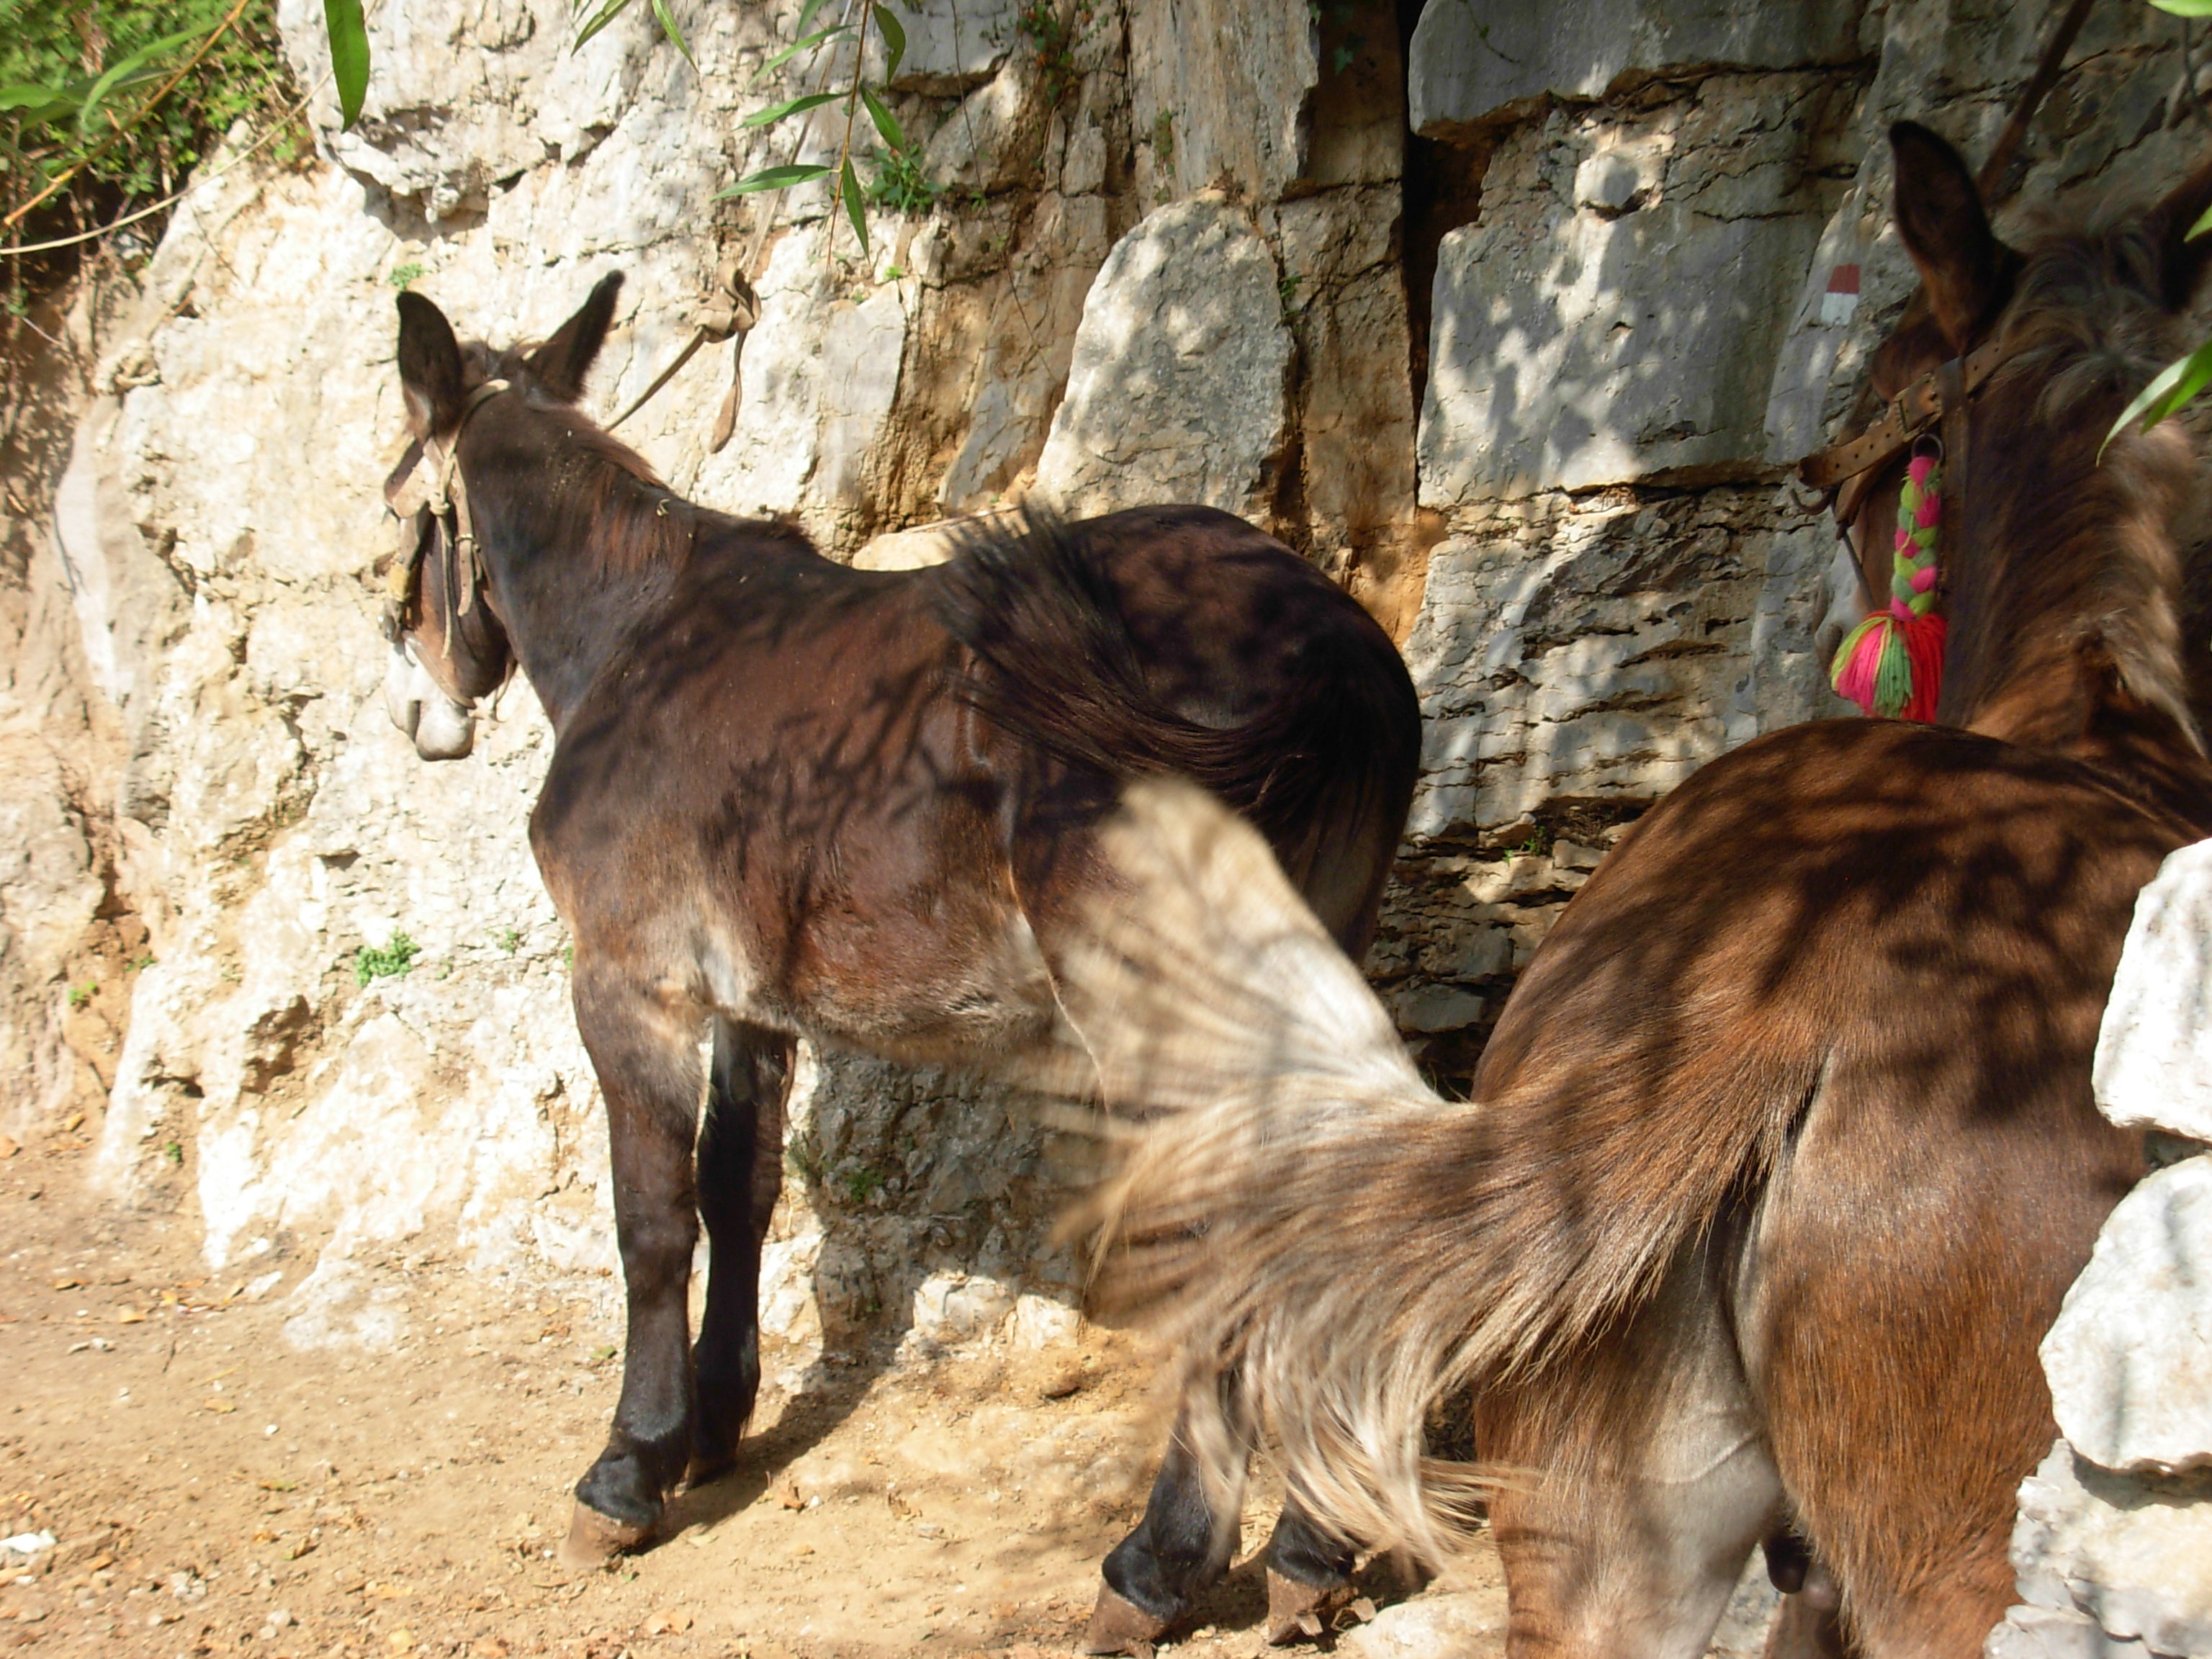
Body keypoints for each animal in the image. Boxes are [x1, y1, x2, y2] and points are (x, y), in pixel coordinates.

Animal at [370, 276, 1424, 1632]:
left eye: (395, 508)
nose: (418, 712)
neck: (638, 633)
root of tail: (1324, 638)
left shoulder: (628, 984)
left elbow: (651, 1221)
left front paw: (627, 1469)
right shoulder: (749, 1007)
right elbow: (740, 1192)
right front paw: (714, 1427)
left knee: (1232, 1244)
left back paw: (1157, 1564)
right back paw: (1308, 1553)